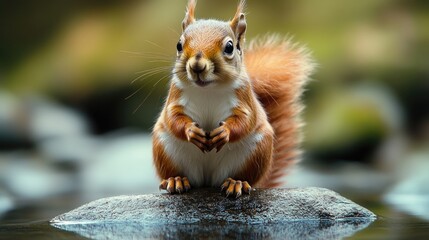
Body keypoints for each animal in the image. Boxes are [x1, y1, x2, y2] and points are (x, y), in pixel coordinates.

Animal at [152, 0, 312, 198]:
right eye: (179, 45)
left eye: (229, 47)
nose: (197, 66)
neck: (208, 90)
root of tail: (207, 179)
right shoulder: (175, 97)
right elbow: (172, 117)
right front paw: (191, 130)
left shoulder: (244, 99)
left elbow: (246, 120)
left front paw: (225, 132)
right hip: (165, 148)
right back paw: (176, 180)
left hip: (256, 151)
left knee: (244, 176)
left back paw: (237, 183)